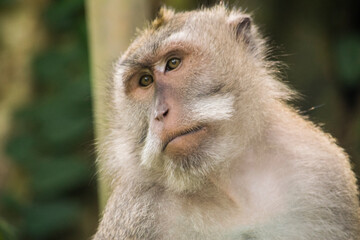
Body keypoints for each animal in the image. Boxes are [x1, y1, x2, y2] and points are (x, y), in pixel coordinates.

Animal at [93, 4, 360, 240]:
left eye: (173, 63)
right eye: (145, 80)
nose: (160, 113)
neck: (229, 180)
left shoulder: (321, 170)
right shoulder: (138, 210)